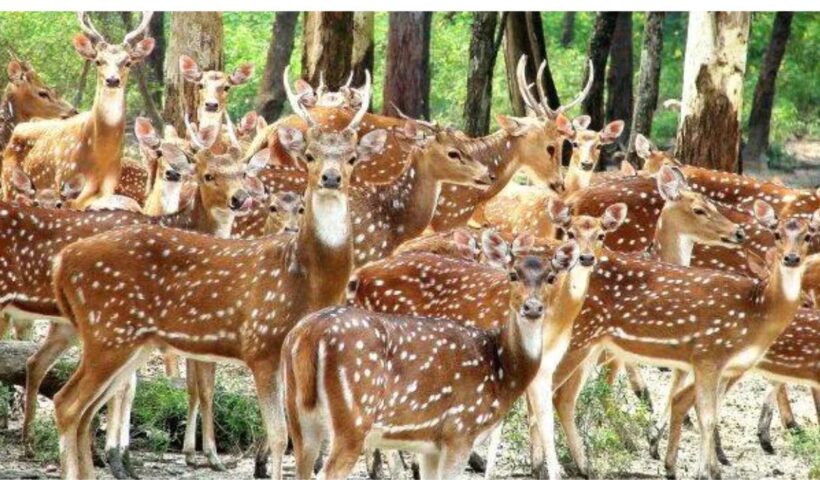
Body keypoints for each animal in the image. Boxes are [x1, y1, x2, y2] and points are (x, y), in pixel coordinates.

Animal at [2, 12, 155, 209]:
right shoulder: (64, 180)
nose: (112, 80)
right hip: (11, 189)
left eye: (128, 62)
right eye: (98, 61)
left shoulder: (105, 190)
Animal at [48, 70, 382, 480]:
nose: (331, 178)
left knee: (84, 410)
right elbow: (279, 435)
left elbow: (303, 441)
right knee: (67, 403)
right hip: (108, 331)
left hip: (126, 340)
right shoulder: (261, 343)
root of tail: (62, 263)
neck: (308, 279)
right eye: (309, 156)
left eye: (352, 158)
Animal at [284, 238, 580, 480]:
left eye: (551, 277)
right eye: (513, 274)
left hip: (300, 419)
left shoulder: (431, 446)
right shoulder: (460, 429)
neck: (502, 370)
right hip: (352, 420)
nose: (533, 307)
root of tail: (307, 335)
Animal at [550, 201, 819, 480]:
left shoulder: (727, 367)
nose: (791, 258)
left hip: (592, 344)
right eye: (777, 234)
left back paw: (584, 467)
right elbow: (707, 417)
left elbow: (709, 413)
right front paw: (702, 471)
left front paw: (705, 467)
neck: (758, 310)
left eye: (808, 236)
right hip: (576, 336)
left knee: (564, 398)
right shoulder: (708, 355)